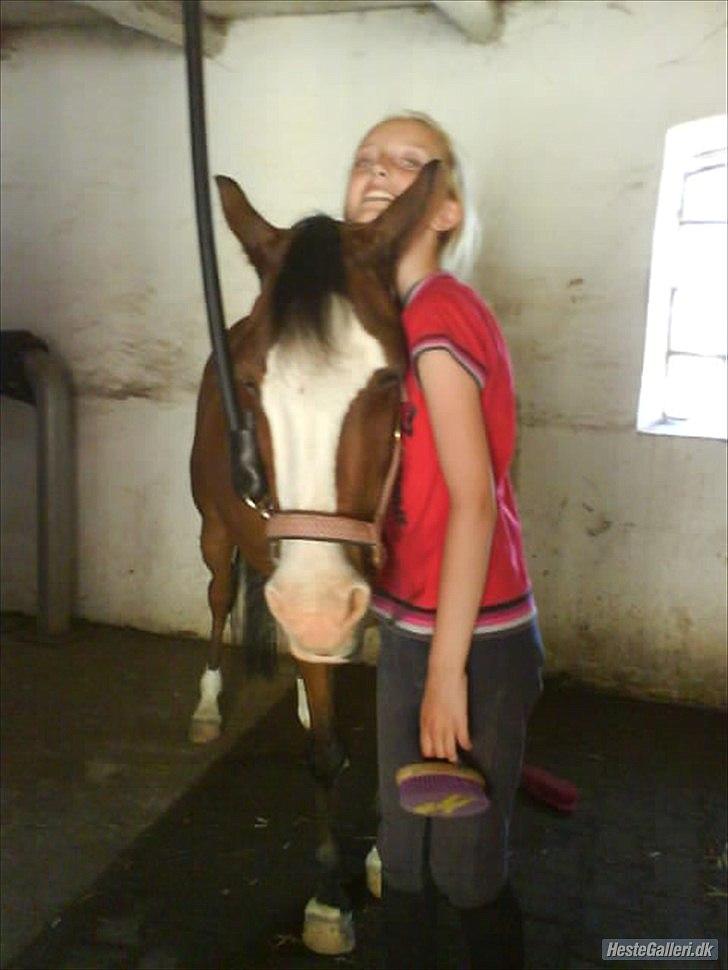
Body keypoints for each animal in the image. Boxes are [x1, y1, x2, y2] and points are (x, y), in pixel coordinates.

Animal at [188, 160, 443, 955]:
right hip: (215, 534)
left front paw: (384, 858)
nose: (319, 607)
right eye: (248, 383)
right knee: (218, 598)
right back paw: (208, 705)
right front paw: (331, 899)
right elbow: (328, 753)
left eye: (390, 378)